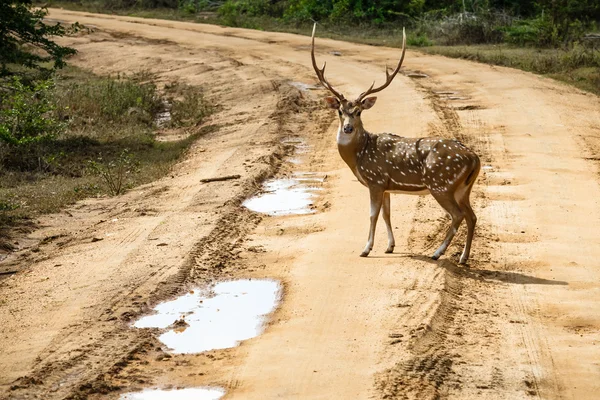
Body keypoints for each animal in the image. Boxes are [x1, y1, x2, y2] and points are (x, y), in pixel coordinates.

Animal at [312, 23, 480, 264]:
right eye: (340, 111)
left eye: (359, 111)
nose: (348, 128)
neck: (359, 156)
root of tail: (475, 158)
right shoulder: (386, 185)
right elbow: (386, 214)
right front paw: (390, 246)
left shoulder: (375, 180)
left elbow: (372, 214)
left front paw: (366, 249)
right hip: (463, 188)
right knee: (472, 216)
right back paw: (463, 258)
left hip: (441, 184)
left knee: (457, 215)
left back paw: (437, 253)